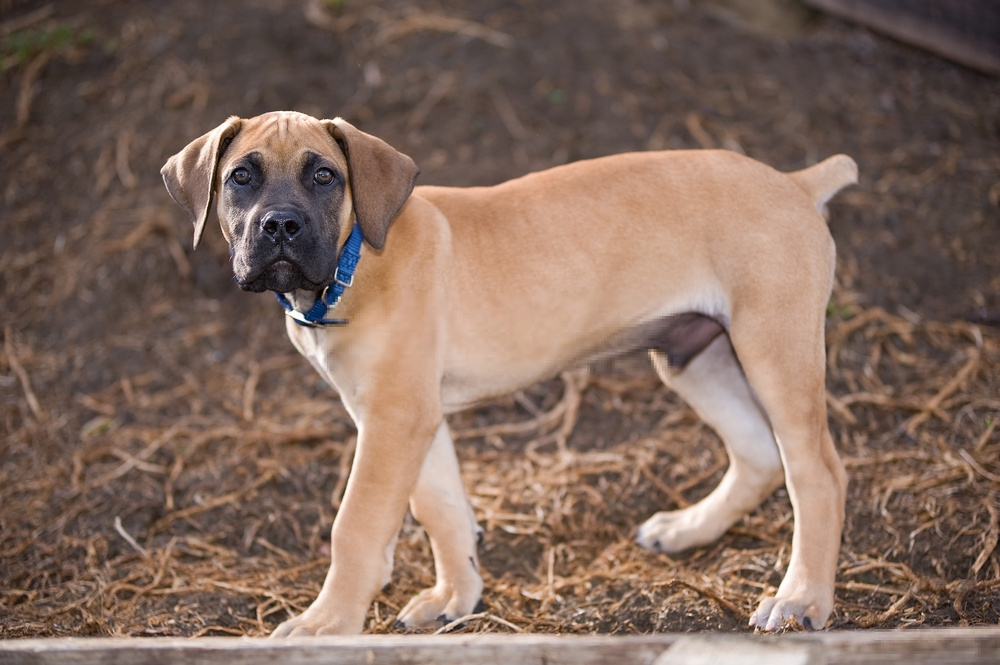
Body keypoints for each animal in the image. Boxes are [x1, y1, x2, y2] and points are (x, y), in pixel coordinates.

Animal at [160, 111, 856, 636]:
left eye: (325, 175)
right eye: (240, 177)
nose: (280, 225)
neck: (356, 259)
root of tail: (795, 183)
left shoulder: (394, 419)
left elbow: (356, 526)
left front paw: (326, 624)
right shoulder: (410, 416)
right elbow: (442, 510)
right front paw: (455, 597)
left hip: (773, 348)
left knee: (816, 471)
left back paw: (800, 599)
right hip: (693, 355)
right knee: (758, 453)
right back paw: (690, 529)